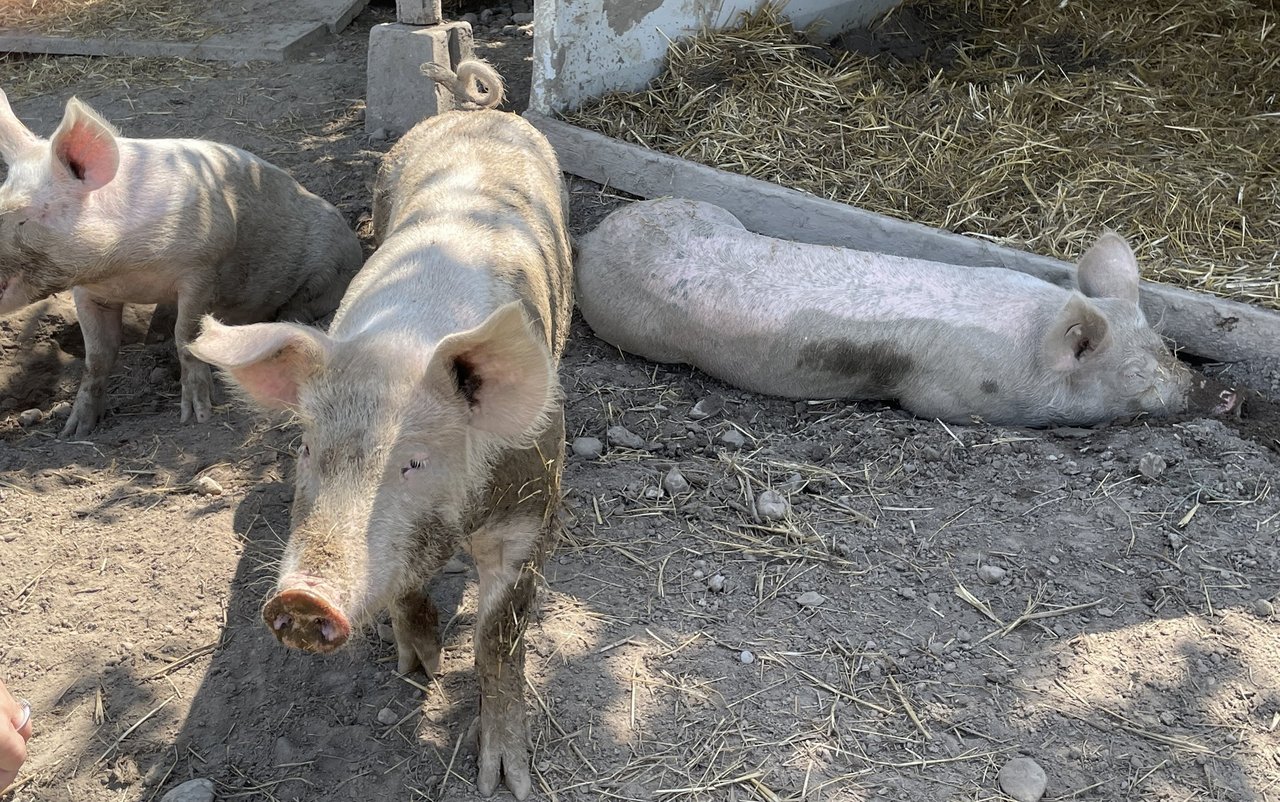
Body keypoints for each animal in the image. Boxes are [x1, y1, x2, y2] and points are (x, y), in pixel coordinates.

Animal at [0, 87, 363, 434]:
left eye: (25, 217)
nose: (72, 431)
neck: (124, 270)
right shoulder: (89, 291)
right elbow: (97, 357)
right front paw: (74, 431)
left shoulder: (202, 269)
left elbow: (187, 337)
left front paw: (197, 416)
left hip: (328, 273)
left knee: (297, 312)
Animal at [188, 59, 570, 798]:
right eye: (309, 448)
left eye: (414, 461)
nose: (303, 597)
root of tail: (473, 111)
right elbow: (407, 589)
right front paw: (416, 669)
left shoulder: (532, 505)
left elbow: (498, 639)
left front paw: (504, 781)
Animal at [581, 198, 1239, 429]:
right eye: (1135, 375)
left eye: (1167, 348)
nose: (1229, 395)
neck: (1028, 343)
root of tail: (593, 237)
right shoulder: (945, 398)